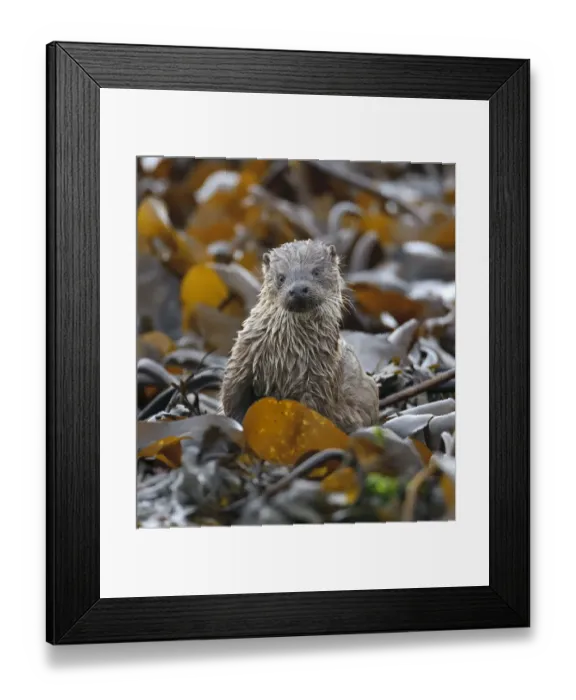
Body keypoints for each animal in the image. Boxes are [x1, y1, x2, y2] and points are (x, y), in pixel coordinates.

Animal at [220, 240, 379, 433]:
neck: (285, 354)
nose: (297, 289)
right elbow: (232, 398)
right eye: (281, 277)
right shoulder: (243, 359)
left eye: (316, 271)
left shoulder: (319, 379)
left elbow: (310, 411)